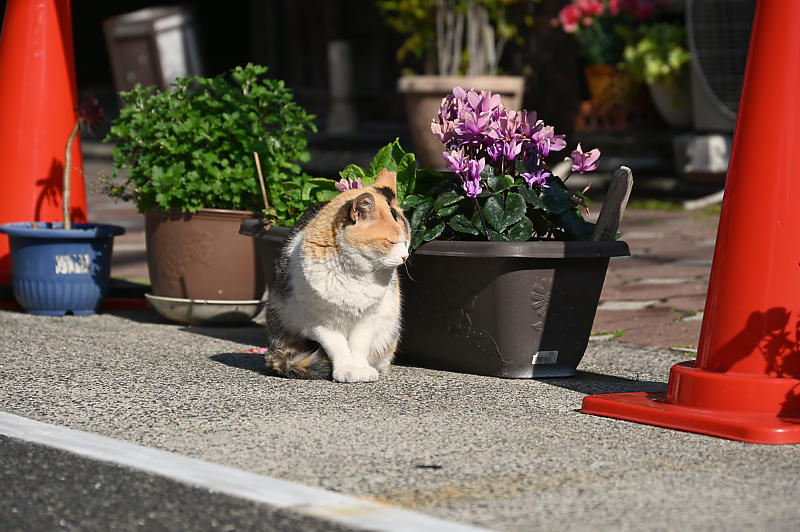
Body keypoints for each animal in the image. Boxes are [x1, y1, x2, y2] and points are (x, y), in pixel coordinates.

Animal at [264, 168, 410, 380]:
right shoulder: (318, 321)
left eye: (407, 240)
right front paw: (346, 370)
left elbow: (359, 345)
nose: (405, 256)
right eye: (390, 242)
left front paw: (362, 369)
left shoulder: (370, 317)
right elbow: (337, 346)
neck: (356, 275)